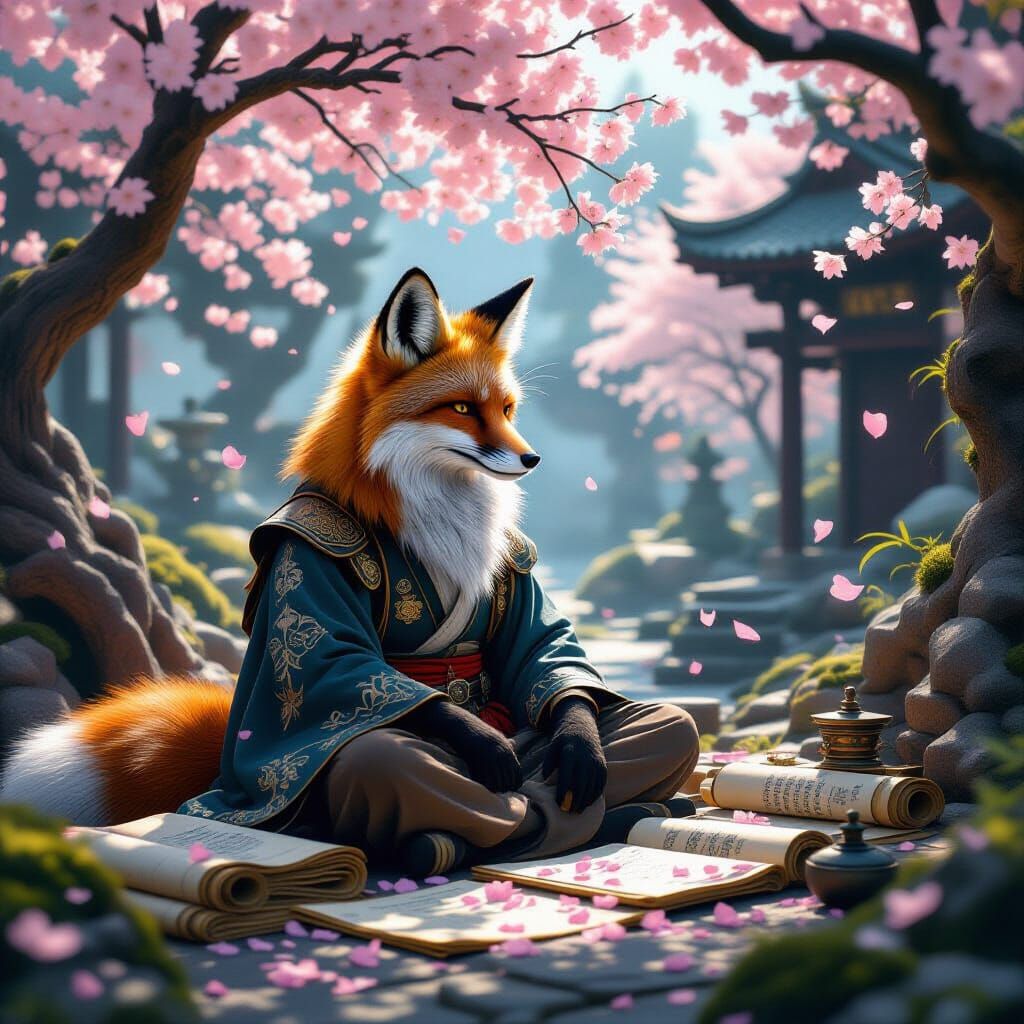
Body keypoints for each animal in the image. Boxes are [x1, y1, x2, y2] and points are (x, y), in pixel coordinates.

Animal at [0, 268, 541, 826]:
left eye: (506, 410)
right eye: (462, 408)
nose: (531, 458)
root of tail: (228, 776)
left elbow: (542, 647)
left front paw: (566, 742)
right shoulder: (308, 564)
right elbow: (341, 660)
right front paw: (487, 743)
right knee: (381, 753)